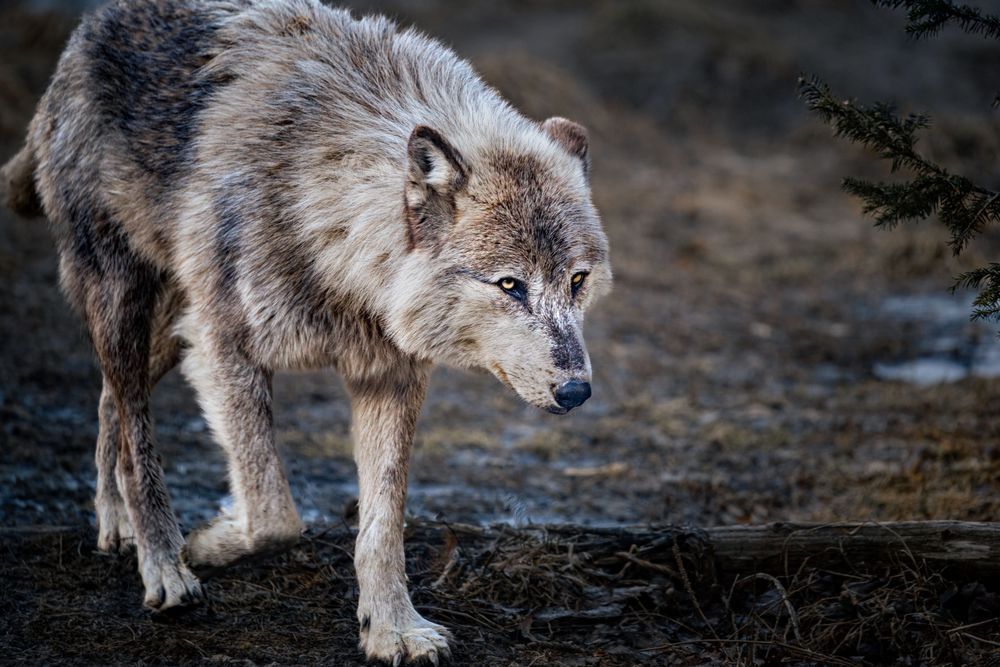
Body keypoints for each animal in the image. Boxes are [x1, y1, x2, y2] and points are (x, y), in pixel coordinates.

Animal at [2, 0, 611, 662]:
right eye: (509, 285)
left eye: (577, 280)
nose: (576, 391)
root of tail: (90, 26)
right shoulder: (224, 350)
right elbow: (274, 516)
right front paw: (208, 541)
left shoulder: (389, 376)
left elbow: (382, 526)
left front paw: (392, 629)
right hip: (129, 300)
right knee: (135, 426)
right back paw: (163, 564)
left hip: (171, 328)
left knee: (110, 398)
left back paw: (114, 524)